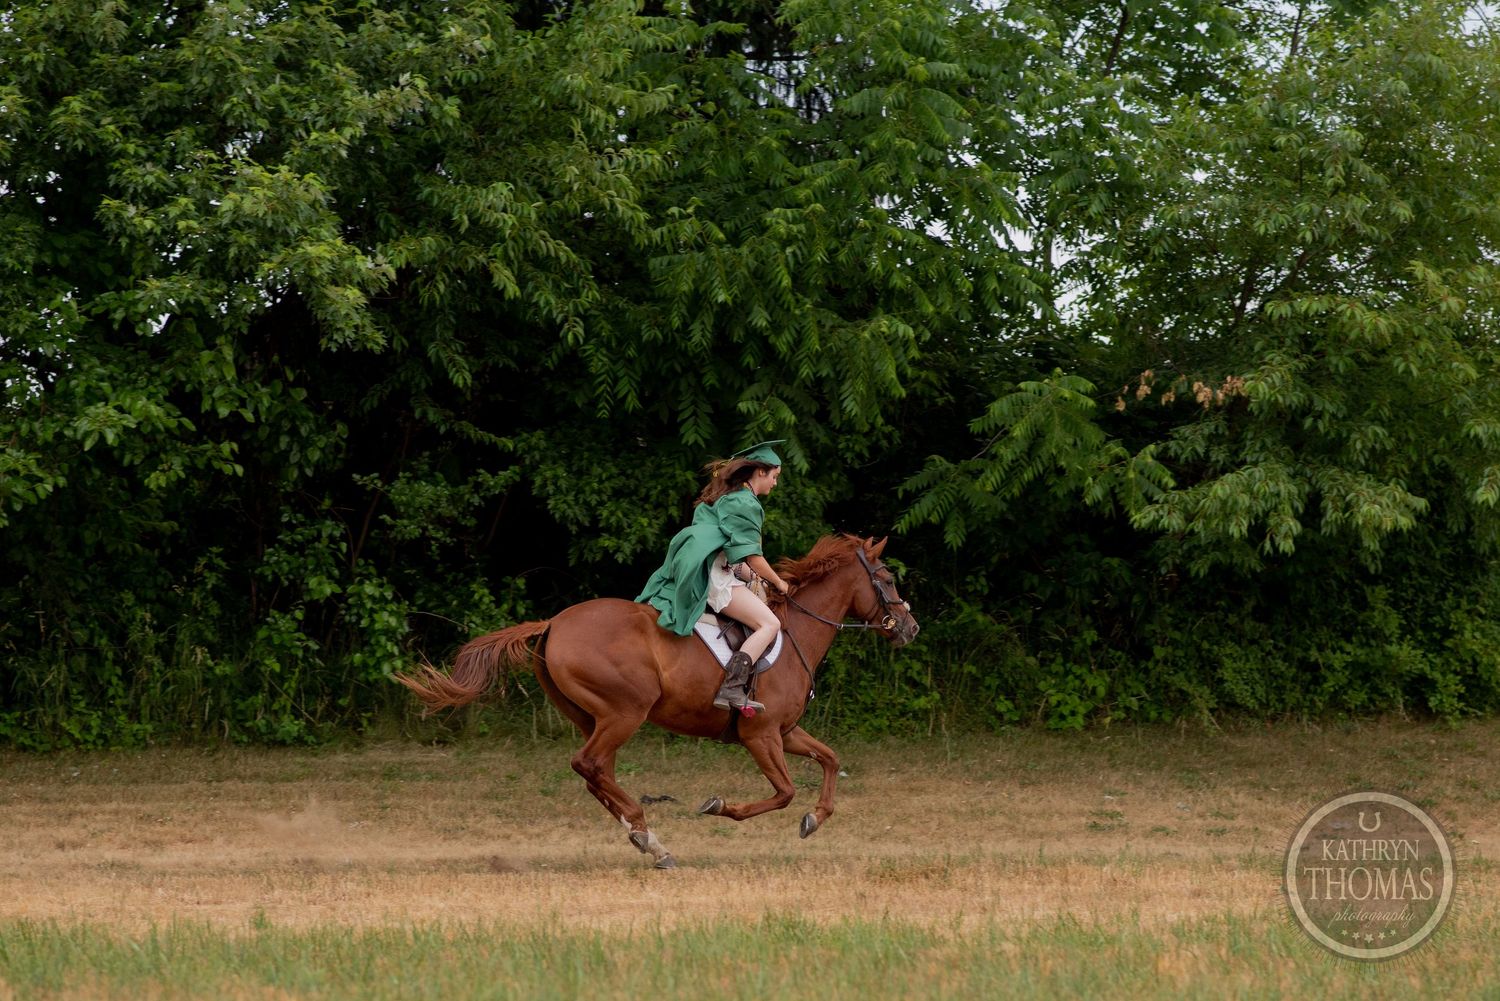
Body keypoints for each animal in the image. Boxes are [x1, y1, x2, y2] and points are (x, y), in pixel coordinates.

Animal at [396, 534, 919, 868]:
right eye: (888, 578)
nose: (911, 628)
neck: (795, 635)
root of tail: (553, 623)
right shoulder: (761, 735)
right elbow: (784, 792)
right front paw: (719, 806)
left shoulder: (786, 732)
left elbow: (830, 760)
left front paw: (816, 818)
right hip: (625, 711)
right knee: (590, 764)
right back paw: (650, 836)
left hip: (593, 716)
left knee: (596, 772)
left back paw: (644, 837)